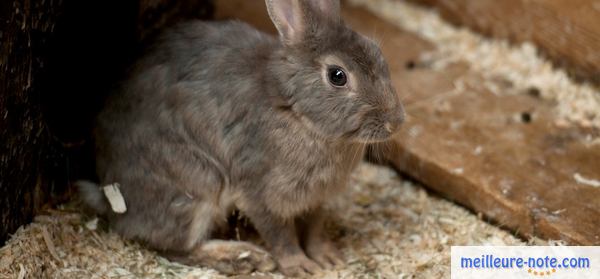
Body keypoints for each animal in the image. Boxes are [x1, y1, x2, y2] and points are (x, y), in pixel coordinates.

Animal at [78, 0, 404, 276]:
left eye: (377, 53)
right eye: (338, 76)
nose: (395, 123)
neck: (296, 112)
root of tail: (110, 199)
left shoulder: (317, 198)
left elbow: (315, 228)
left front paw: (328, 258)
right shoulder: (259, 191)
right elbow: (280, 235)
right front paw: (300, 267)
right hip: (196, 187)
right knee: (174, 247)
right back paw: (242, 258)